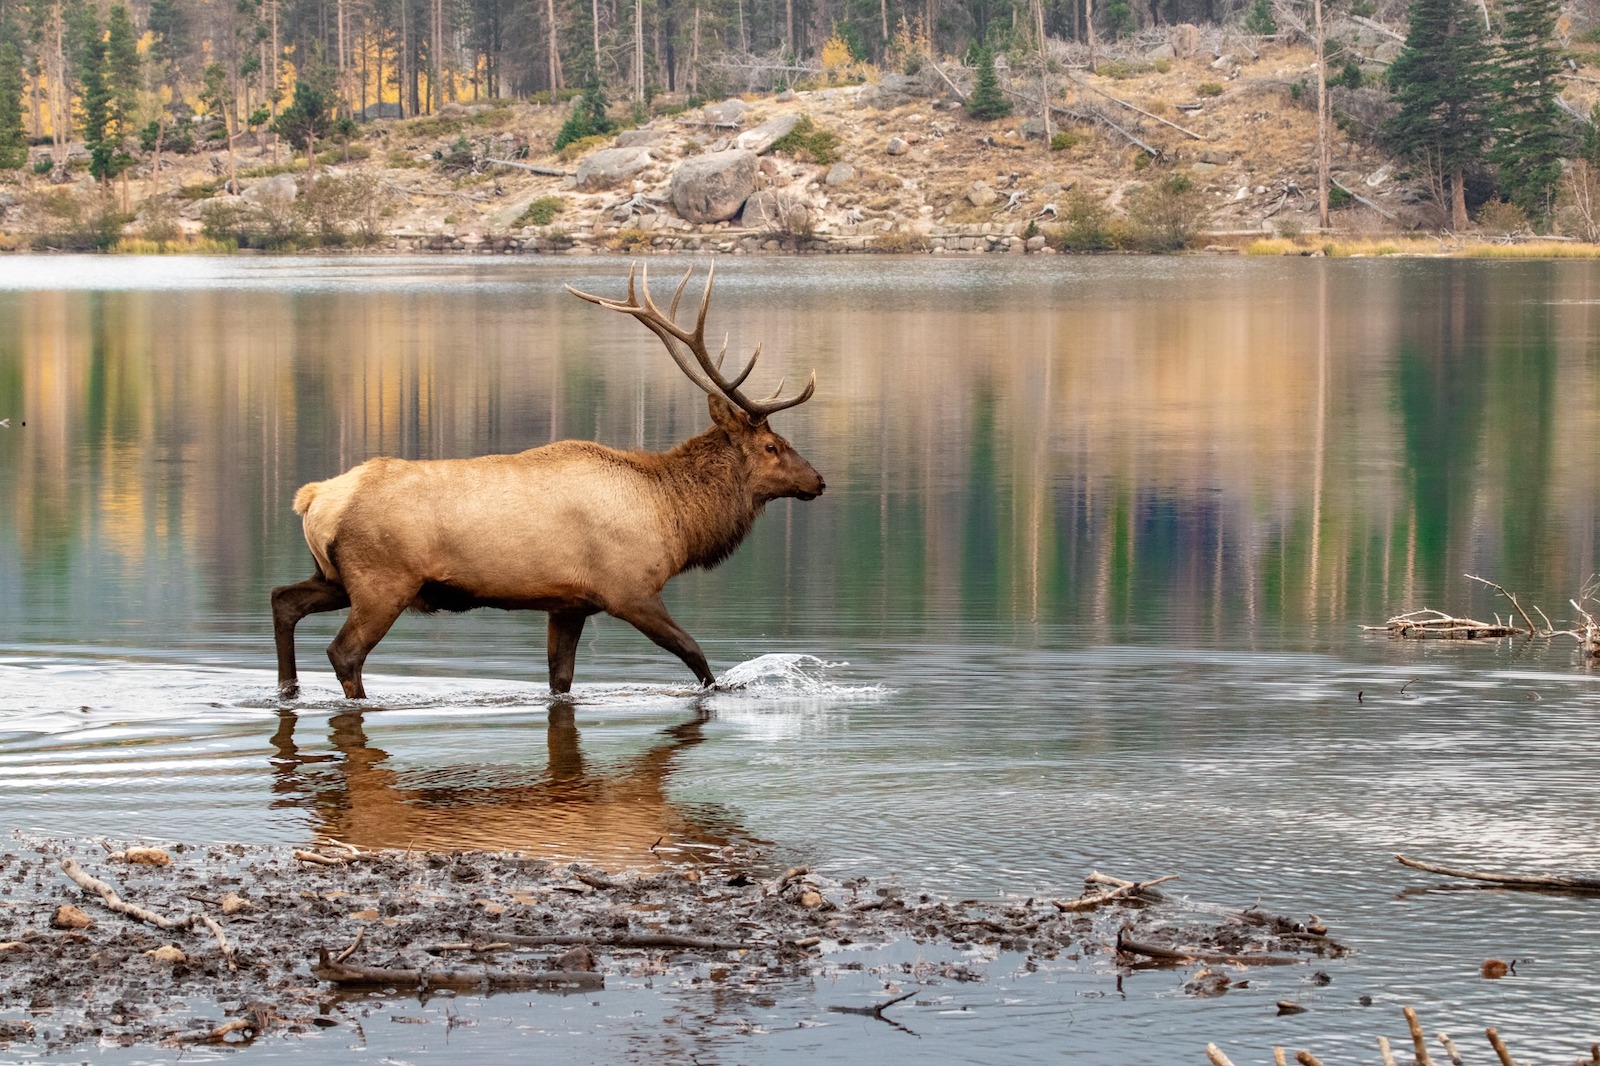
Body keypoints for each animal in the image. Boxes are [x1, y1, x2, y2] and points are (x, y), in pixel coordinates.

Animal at [272, 264, 825, 697]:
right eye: (772, 447)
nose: (818, 481)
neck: (674, 516)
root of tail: (314, 500)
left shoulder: (569, 603)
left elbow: (560, 679)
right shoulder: (629, 589)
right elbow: (698, 658)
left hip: (339, 577)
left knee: (283, 600)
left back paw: (288, 688)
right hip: (383, 580)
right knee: (344, 651)